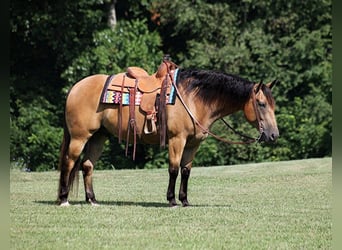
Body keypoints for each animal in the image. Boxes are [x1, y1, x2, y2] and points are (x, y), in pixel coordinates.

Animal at [57, 57, 280, 207]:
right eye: (261, 104)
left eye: (273, 104)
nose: (274, 135)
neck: (193, 98)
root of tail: (75, 87)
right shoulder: (177, 140)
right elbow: (173, 169)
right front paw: (172, 200)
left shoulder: (193, 144)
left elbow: (186, 171)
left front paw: (185, 200)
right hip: (80, 137)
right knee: (69, 162)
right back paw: (64, 199)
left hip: (98, 137)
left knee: (87, 165)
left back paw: (92, 200)